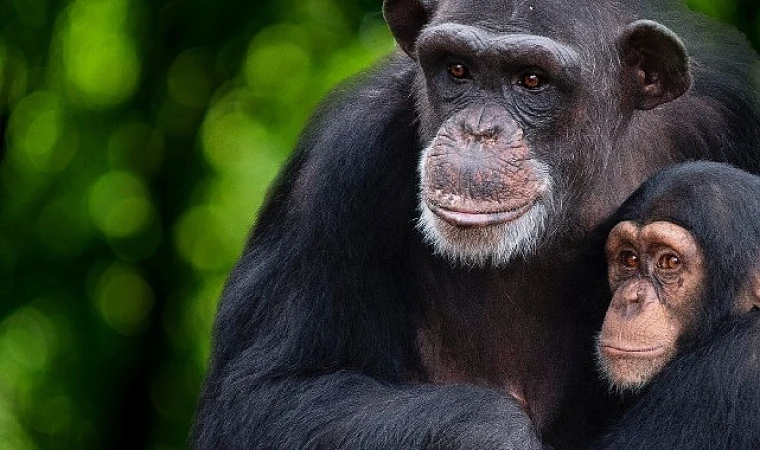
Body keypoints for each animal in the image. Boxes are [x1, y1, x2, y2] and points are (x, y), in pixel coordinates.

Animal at [190, 0, 760, 450]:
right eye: (457, 69)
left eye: (531, 79)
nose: (477, 129)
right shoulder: (337, 162)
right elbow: (259, 396)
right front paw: (496, 435)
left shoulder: (737, 105)